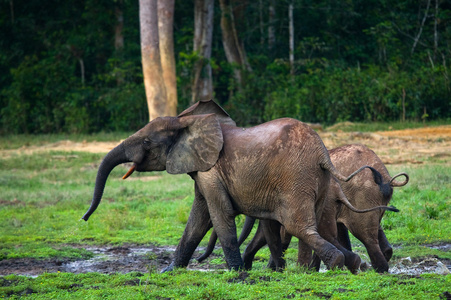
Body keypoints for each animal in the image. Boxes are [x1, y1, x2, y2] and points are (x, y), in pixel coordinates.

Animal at [198, 144, 410, 274]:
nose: (200, 260)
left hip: (362, 196)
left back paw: (378, 269)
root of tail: (386, 178)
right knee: (372, 229)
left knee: (364, 234)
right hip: (371, 200)